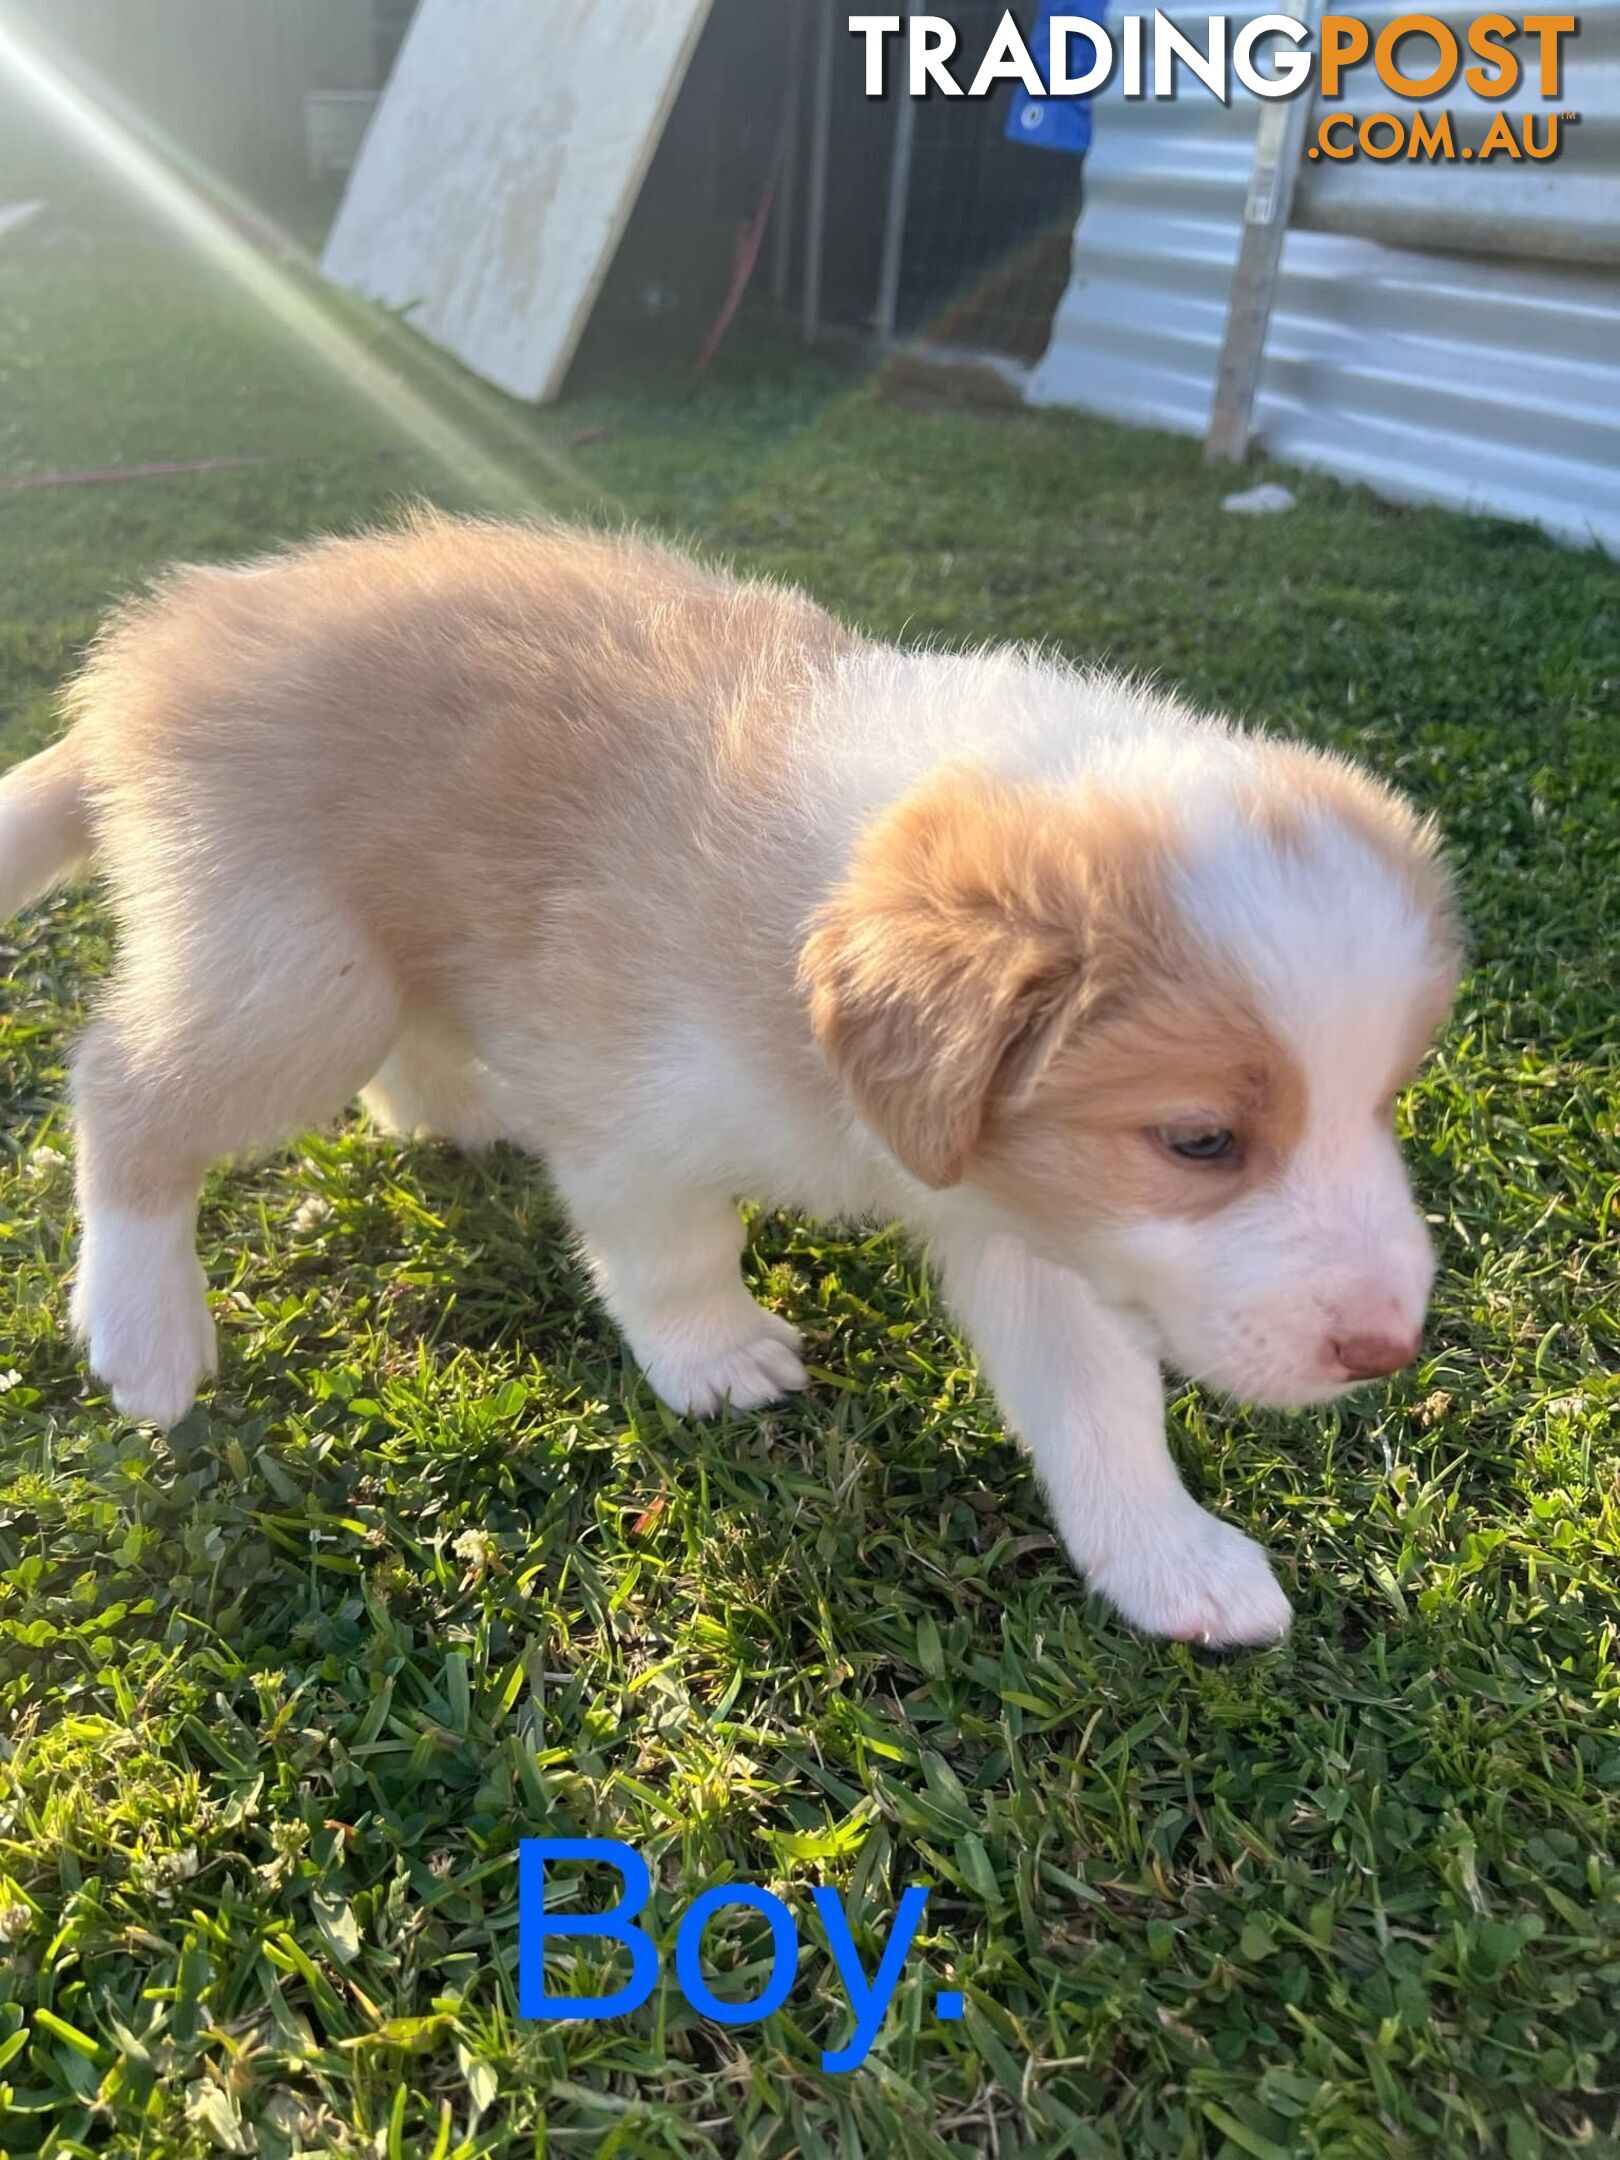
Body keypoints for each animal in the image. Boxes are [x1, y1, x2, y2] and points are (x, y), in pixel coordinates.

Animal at [0, 514, 1468, 1641]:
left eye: (1379, 1105)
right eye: (1201, 1141)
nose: (1388, 1349)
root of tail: (177, 626)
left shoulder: (1039, 1208)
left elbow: (1102, 1402)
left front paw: (1172, 1560)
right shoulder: (632, 1115)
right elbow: (675, 1252)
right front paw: (713, 1358)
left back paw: (453, 1112)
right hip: (300, 977)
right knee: (119, 1083)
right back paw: (143, 1328)